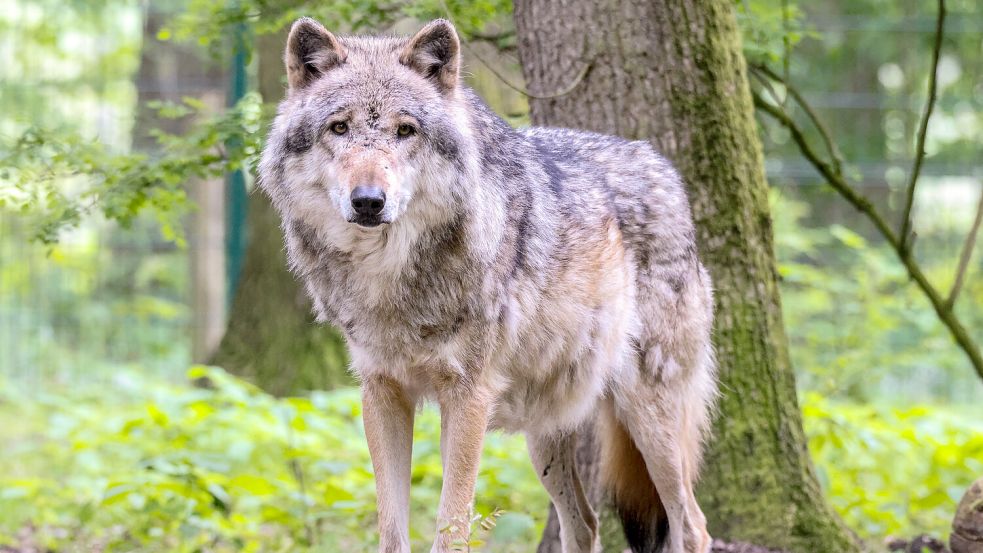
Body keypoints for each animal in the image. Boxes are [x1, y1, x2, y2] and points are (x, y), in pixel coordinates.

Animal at [260, 16, 724, 552]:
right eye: (339, 127)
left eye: (405, 130)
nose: (369, 201)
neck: (390, 279)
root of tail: (663, 167)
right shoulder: (381, 391)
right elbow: (392, 530)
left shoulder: (469, 397)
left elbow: (452, 527)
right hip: (546, 435)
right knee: (585, 523)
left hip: (648, 416)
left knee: (693, 524)